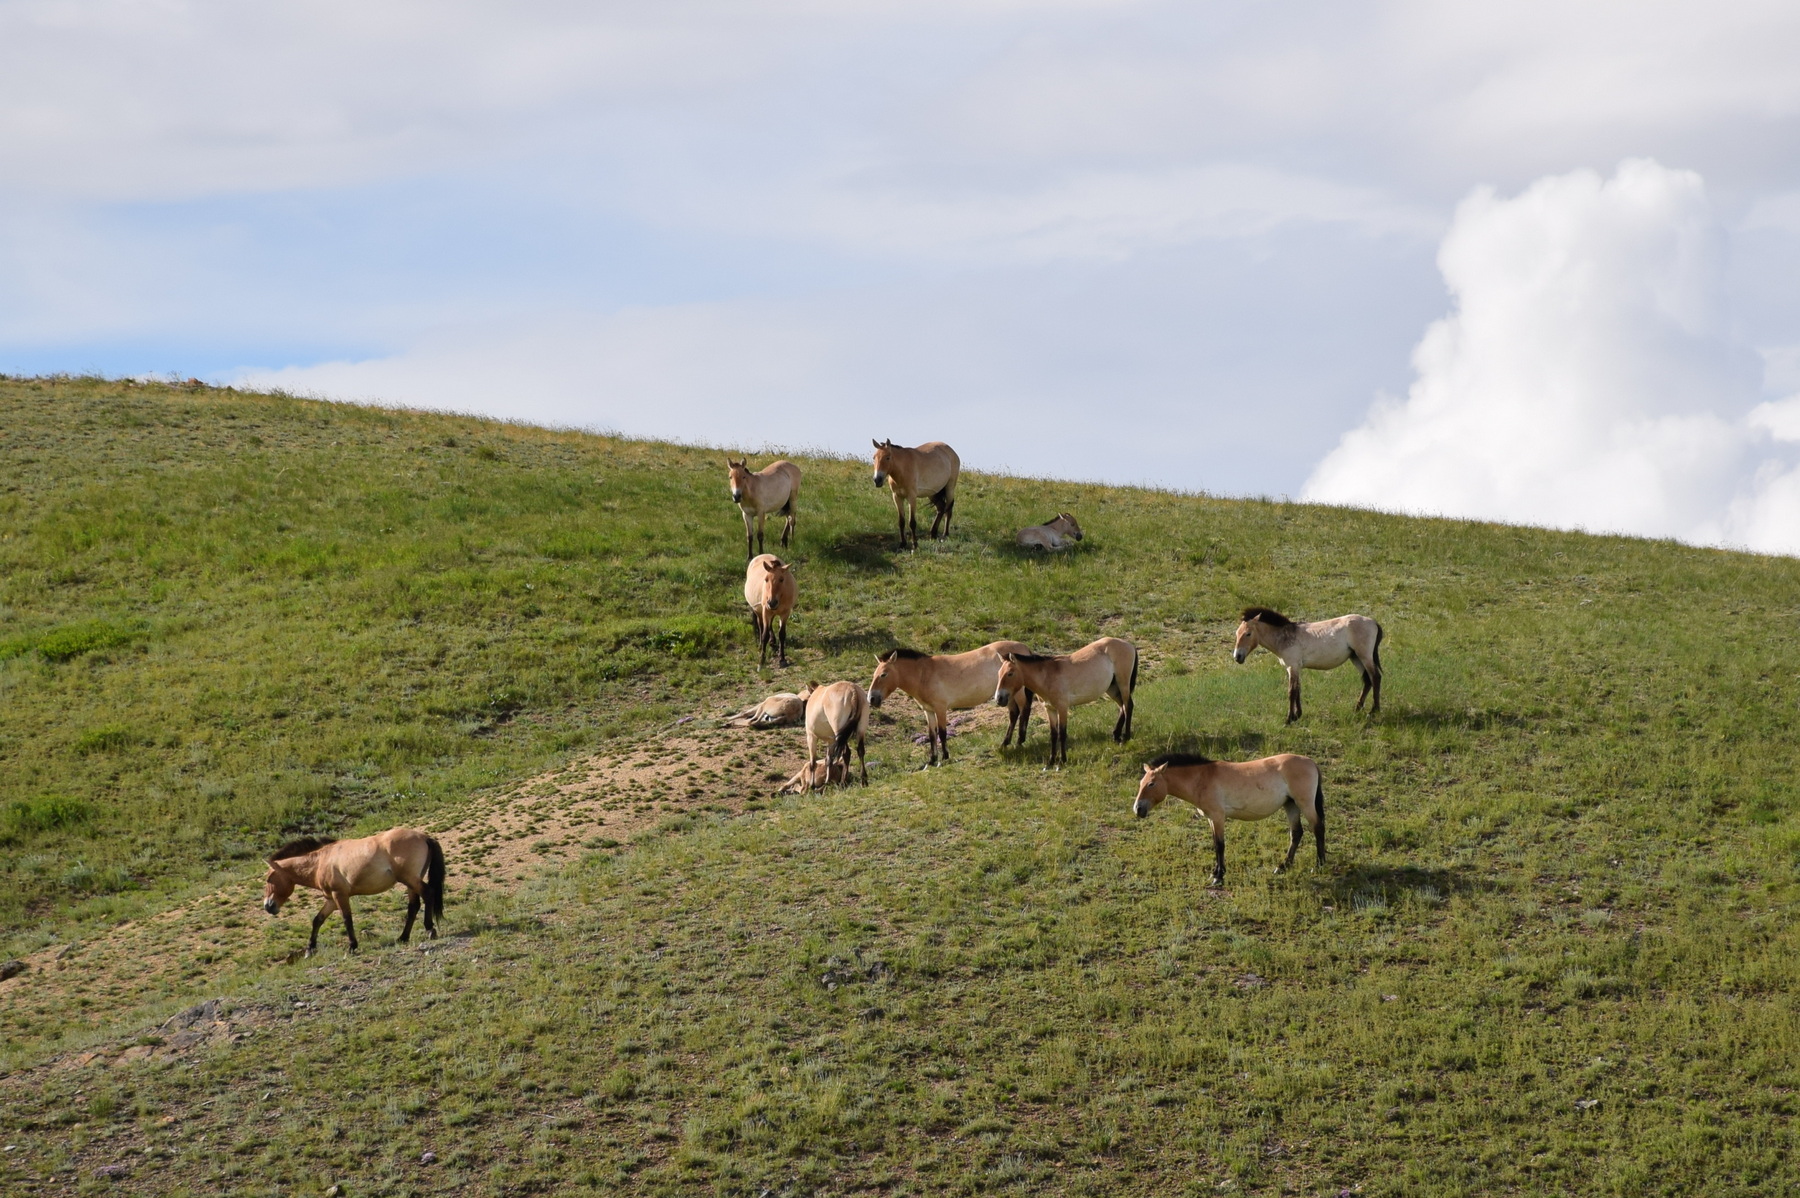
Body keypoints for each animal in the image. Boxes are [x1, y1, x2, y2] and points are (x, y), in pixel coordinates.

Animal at [262, 828, 446, 955]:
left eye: (268, 879)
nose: (268, 906)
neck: (321, 861)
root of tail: (424, 837)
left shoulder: (340, 895)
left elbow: (346, 919)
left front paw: (351, 946)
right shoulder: (331, 900)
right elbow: (317, 920)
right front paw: (310, 949)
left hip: (410, 879)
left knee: (428, 894)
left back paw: (430, 929)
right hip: (410, 882)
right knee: (413, 906)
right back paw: (403, 937)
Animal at [866, 642, 1035, 767]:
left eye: (883, 674)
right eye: (874, 674)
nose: (871, 699)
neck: (924, 674)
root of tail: (1024, 648)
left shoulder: (940, 709)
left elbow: (942, 732)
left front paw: (945, 757)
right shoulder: (929, 711)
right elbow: (932, 734)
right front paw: (932, 760)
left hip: (1017, 693)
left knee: (1024, 710)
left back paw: (1020, 741)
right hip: (1006, 695)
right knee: (1014, 714)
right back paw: (1005, 743)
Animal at [992, 637, 1137, 768]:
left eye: (1010, 673)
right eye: (998, 673)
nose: (999, 698)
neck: (1047, 677)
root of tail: (1128, 644)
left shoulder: (1062, 708)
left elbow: (1062, 734)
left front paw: (1062, 761)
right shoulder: (1050, 709)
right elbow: (1053, 735)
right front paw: (1051, 762)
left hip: (1123, 684)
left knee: (1128, 706)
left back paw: (1126, 737)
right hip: (1112, 688)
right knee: (1122, 707)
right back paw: (1116, 736)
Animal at [1131, 752, 1325, 887]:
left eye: (1151, 784)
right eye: (1140, 783)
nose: (1138, 809)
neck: (1203, 778)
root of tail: (1311, 762)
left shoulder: (1218, 816)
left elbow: (1220, 845)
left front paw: (1218, 876)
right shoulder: (1211, 818)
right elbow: (1215, 844)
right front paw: (1215, 873)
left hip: (1304, 803)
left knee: (1317, 828)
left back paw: (1318, 865)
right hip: (1290, 805)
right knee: (1296, 833)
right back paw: (1283, 866)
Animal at [1233, 607, 1383, 722]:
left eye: (1248, 634)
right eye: (1237, 633)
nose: (1237, 657)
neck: (1284, 637)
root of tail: (1373, 622)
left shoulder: (1293, 666)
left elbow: (1291, 691)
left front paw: (1289, 719)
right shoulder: (1294, 668)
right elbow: (1298, 689)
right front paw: (1297, 715)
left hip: (1364, 656)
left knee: (1375, 677)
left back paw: (1374, 710)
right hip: (1355, 657)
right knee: (1367, 680)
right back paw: (1357, 708)